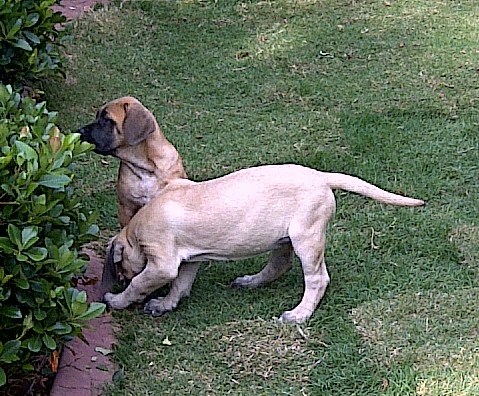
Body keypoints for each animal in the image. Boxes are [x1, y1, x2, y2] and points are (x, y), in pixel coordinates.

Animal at [102, 163, 424, 322]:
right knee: (279, 266)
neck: (136, 229)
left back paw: (298, 315)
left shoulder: (162, 264)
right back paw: (250, 282)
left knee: (317, 279)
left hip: (306, 237)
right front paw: (165, 304)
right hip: (282, 238)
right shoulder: (190, 260)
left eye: (120, 267)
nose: (118, 279)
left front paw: (116, 300)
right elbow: (180, 285)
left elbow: (140, 284)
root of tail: (320, 177)